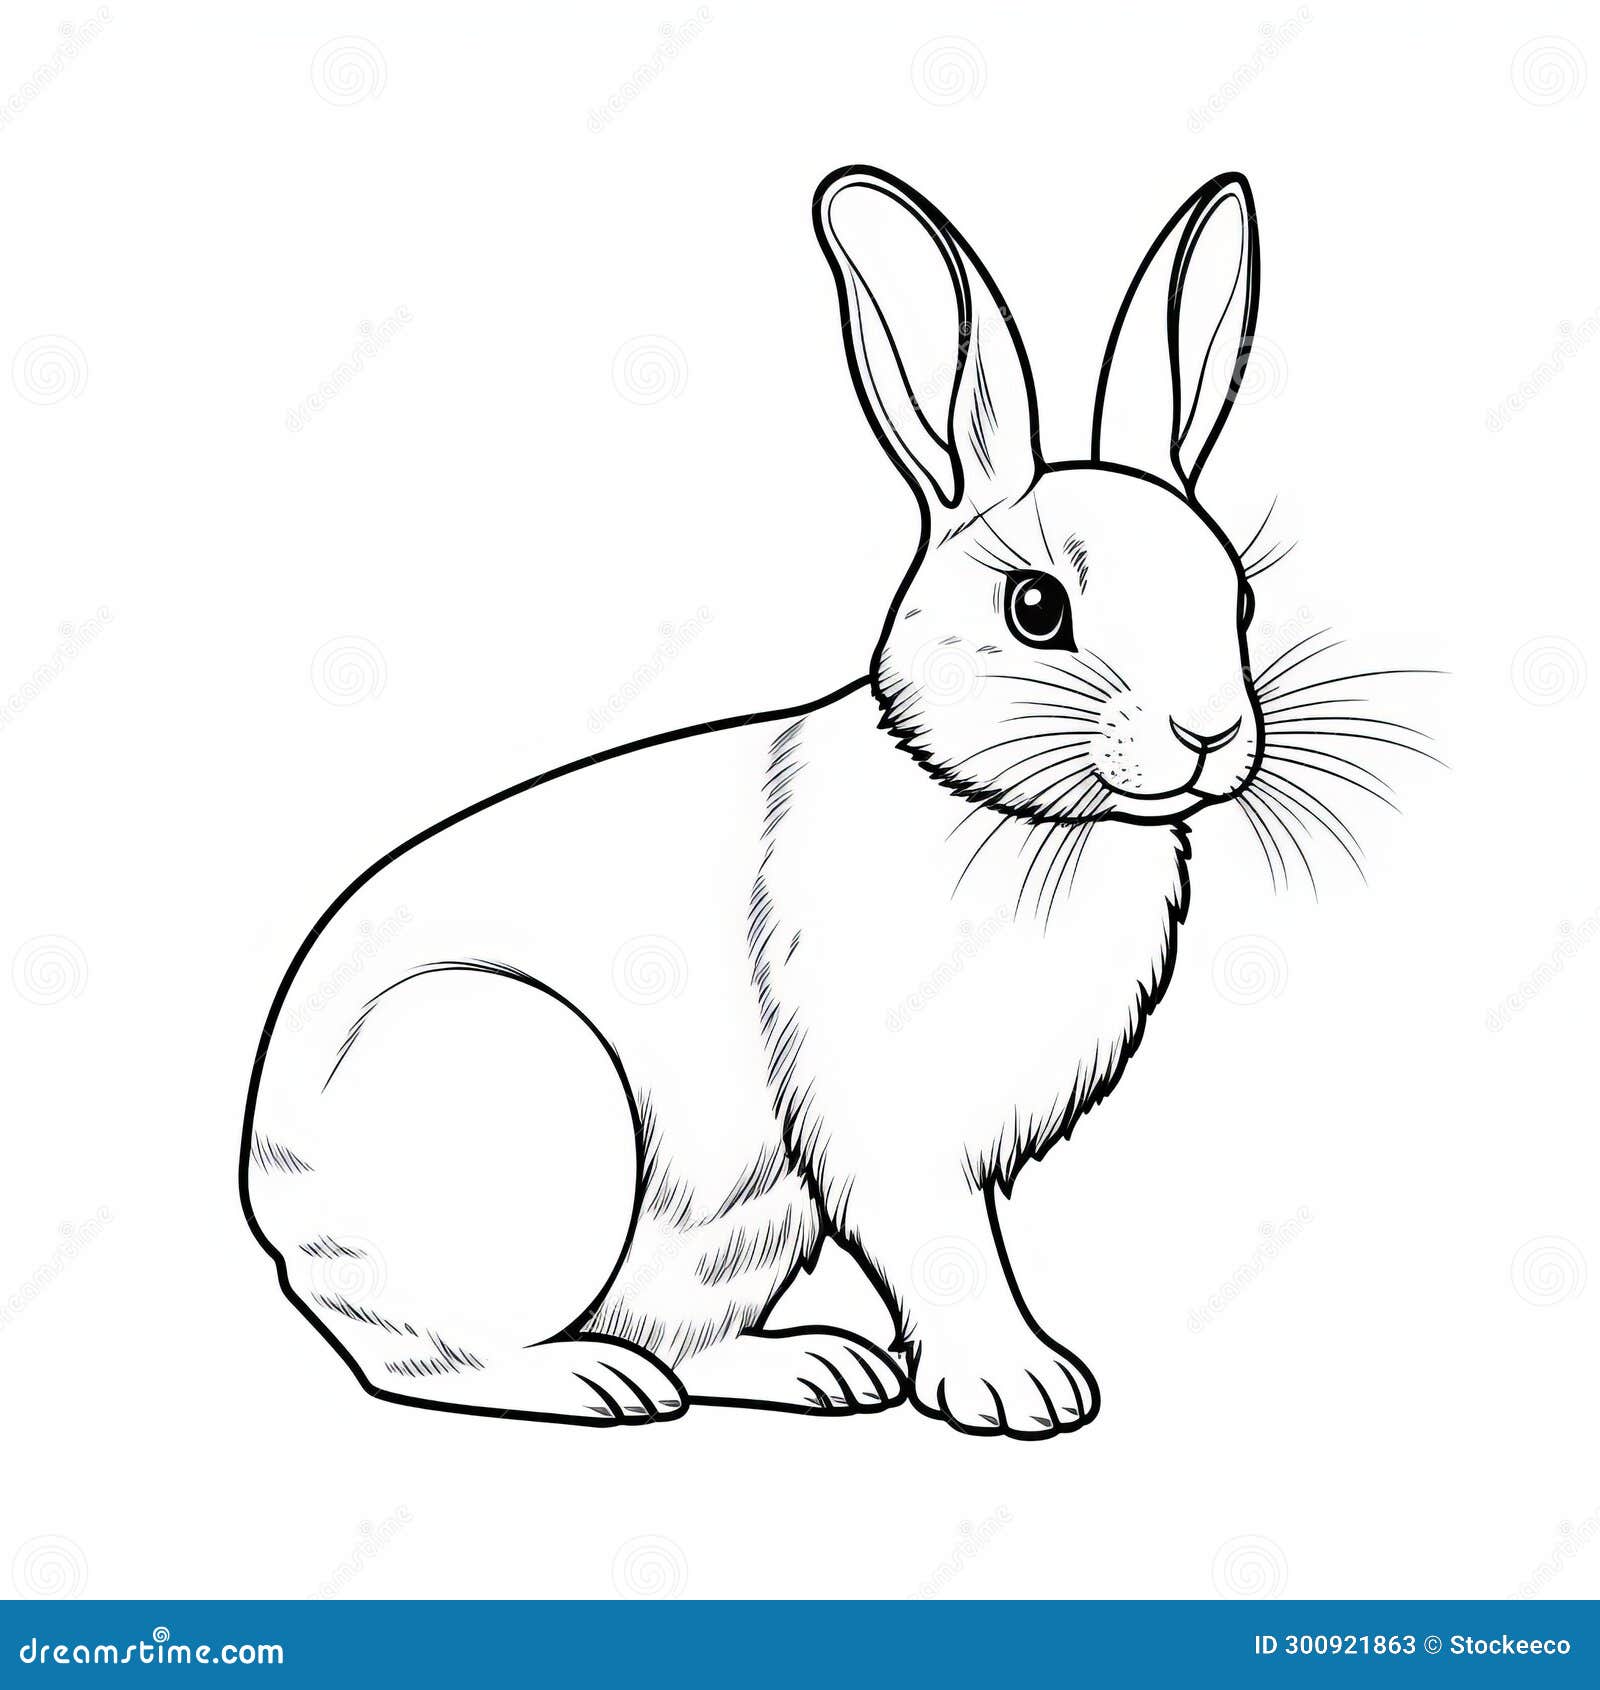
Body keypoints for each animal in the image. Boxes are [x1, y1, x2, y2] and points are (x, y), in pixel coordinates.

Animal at [242, 164, 1266, 1438]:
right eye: (1037, 608)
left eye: (1238, 602)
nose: (1209, 735)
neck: (985, 795)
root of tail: (273, 1200)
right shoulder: (887, 1120)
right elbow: (948, 1252)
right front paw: (1020, 1389)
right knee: (429, 1358)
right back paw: (589, 1383)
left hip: (745, 1227)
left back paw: (815, 1369)